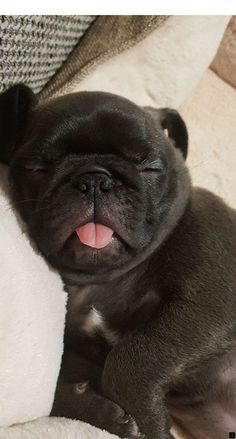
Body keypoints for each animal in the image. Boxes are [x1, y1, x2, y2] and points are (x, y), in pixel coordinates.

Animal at [0, 84, 236, 438]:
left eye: (151, 167)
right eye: (37, 168)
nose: (95, 180)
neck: (104, 279)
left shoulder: (209, 301)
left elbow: (135, 358)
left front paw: (151, 423)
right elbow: (54, 393)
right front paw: (103, 413)